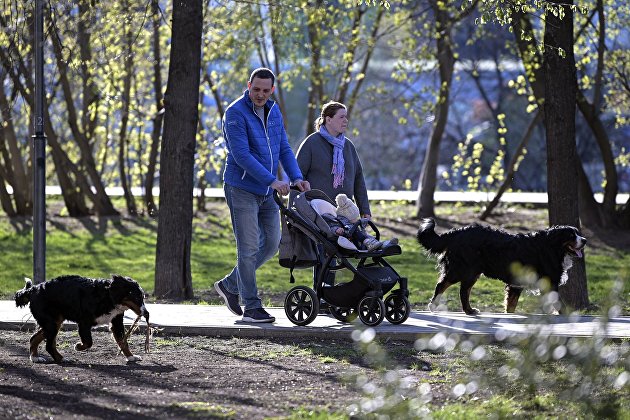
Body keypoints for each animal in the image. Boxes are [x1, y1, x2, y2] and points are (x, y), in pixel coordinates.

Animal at [15, 274, 149, 362]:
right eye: (137, 297)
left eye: (143, 297)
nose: (146, 313)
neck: (108, 296)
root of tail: (33, 289)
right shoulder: (84, 322)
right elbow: (88, 342)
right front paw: (78, 346)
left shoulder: (116, 322)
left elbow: (123, 342)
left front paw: (131, 356)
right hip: (51, 323)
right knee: (48, 345)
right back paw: (61, 359)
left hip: (54, 323)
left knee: (35, 338)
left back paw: (35, 357)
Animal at [420, 218, 588, 314]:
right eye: (571, 236)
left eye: (578, 233)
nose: (585, 240)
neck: (552, 247)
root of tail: (456, 232)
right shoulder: (550, 283)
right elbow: (558, 303)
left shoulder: (516, 285)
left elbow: (511, 305)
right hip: (464, 270)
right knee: (446, 286)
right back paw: (437, 306)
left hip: (470, 272)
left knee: (463, 291)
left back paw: (468, 310)